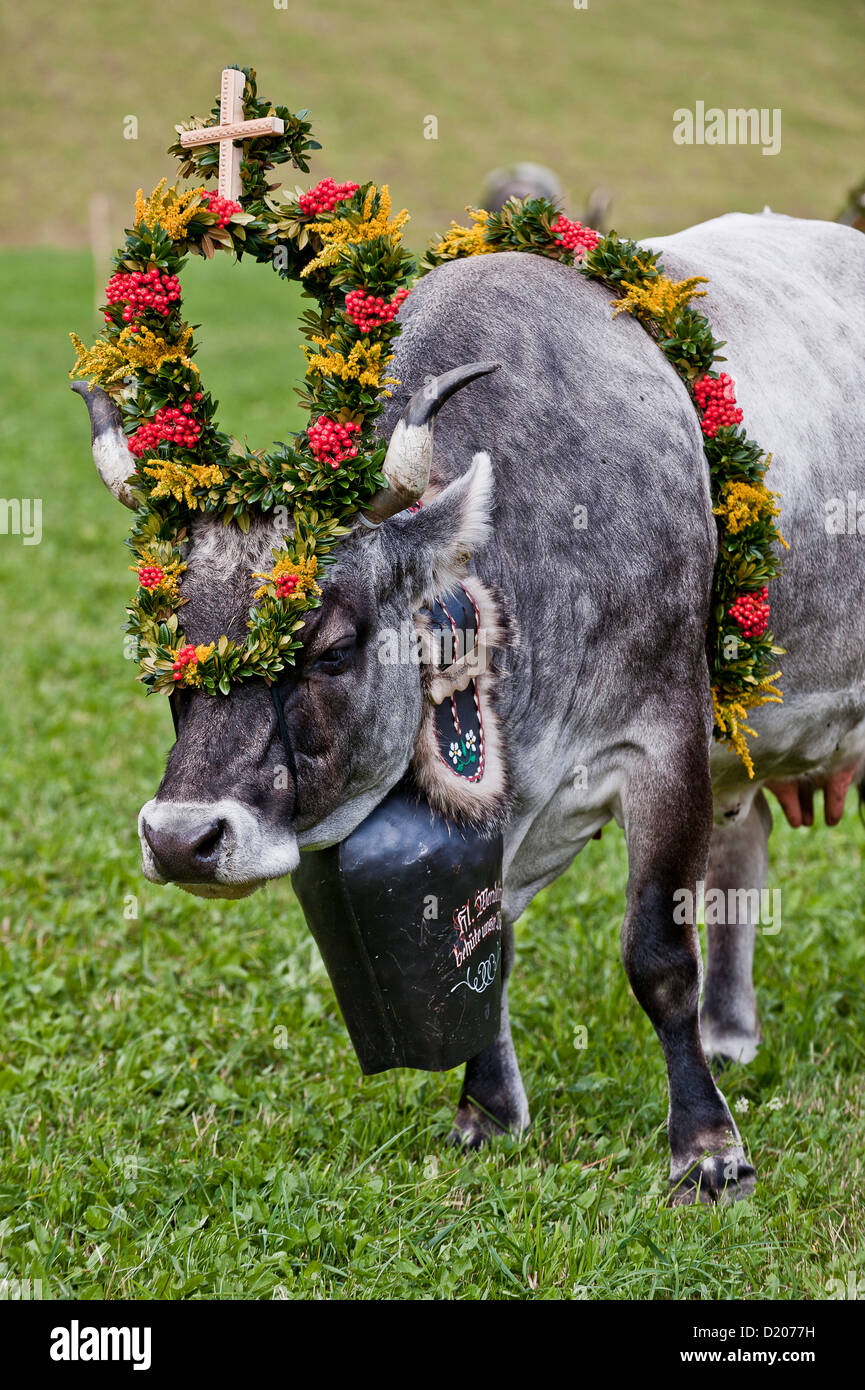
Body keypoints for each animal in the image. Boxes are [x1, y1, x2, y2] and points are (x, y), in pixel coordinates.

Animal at [73, 208, 865, 1206]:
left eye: (330, 648)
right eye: (163, 654)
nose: (181, 839)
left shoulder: (664, 743)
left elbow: (656, 955)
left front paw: (707, 1149)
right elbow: (488, 953)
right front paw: (486, 1113)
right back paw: (730, 1034)